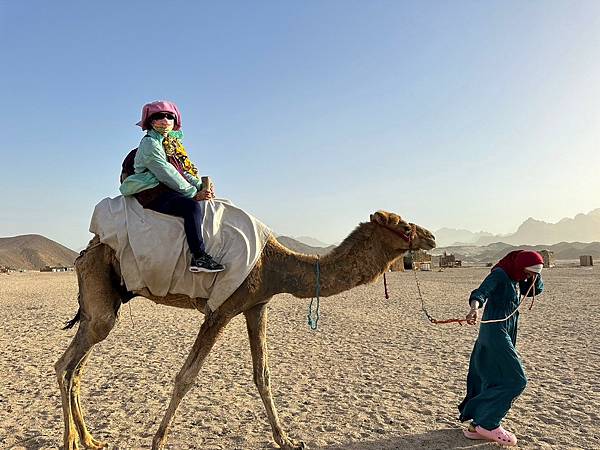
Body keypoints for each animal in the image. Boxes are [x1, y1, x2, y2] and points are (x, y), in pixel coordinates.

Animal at [55, 210, 436, 450]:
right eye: (402, 225)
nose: (431, 236)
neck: (275, 265)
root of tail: (83, 252)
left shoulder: (256, 305)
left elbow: (262, 374)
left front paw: (287, 440)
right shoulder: (221, 309)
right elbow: (186, 376)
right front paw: (158, 441)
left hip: (103, 303)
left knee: (75, 367)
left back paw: (88, 440)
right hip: (100, 292)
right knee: (66, 366)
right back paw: (69, 441)